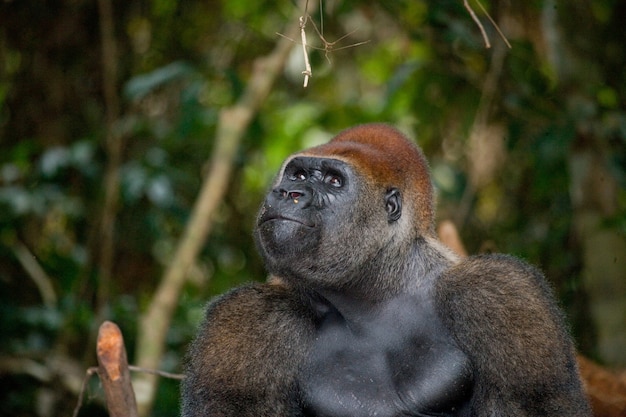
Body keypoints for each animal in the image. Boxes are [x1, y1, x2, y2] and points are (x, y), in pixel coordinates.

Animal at [180, 123, 588, 416]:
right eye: (298, 176)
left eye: (333, 181)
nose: (287, 194)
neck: (376, 289)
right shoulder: (251, 319)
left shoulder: (501, 291)